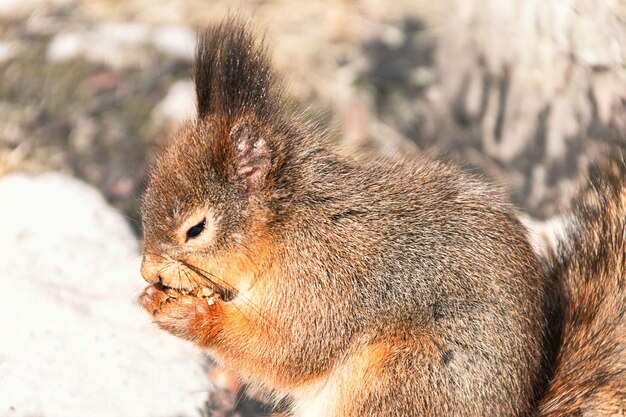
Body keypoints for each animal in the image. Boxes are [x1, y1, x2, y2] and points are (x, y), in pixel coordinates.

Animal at [138, 17, 624, 414]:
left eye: (196, 228)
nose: (146, 270)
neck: (291, 224)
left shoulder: (327, 283)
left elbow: (289, 347)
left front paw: (188, 315)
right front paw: (150, 297)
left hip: (404, 376)